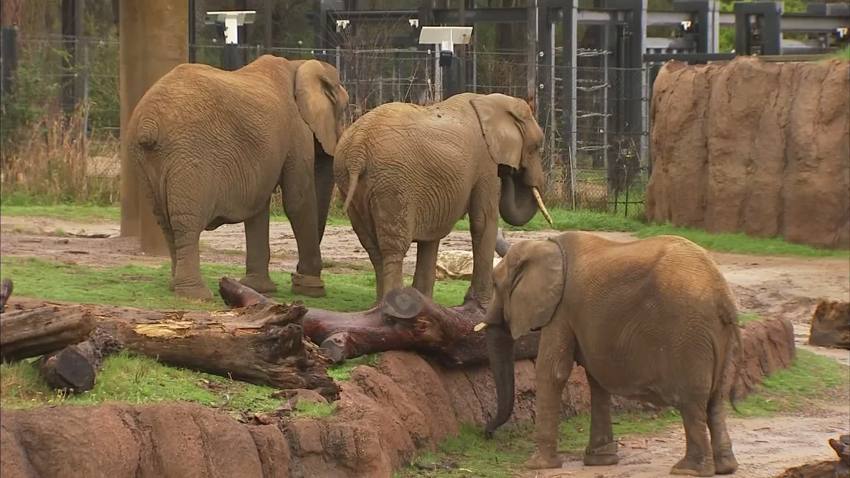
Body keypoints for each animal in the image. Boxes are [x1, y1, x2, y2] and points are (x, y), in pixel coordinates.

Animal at [127, 55, 349, 300]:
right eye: (344, 109)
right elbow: (297, 201)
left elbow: (259, 206)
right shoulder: (296, 129)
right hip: (189, 155)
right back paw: (196, 294)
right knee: (186, 222)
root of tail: (149, 122)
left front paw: (259, 288)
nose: (295, 274)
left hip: (146, 161)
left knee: (164, 221)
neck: (298, 64)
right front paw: (311, 290)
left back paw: (175, 287)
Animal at [333, 93, 552, 304]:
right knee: (393, 248)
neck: (490, 100)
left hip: (350, 181)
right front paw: (482, 306)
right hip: (392, 182)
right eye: (536, 146)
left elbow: (432, 234)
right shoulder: (485, 163)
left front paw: (426, 304)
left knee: (372, 247)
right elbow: (483, 221)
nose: (509, 171)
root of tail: (358, 147)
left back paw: (377, 308)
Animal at [481, 232, 741, 476]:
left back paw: (688, 470)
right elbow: (596, 379)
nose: (487, 433)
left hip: (688, 334)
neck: (545, 246)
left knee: (692, 401)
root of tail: (723, 295)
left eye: (495, 285)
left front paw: (537, 465)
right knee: (716, 399)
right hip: (715, 336)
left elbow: (552, 372)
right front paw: (601, 461)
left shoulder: (562, 308)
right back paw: (725, 467)